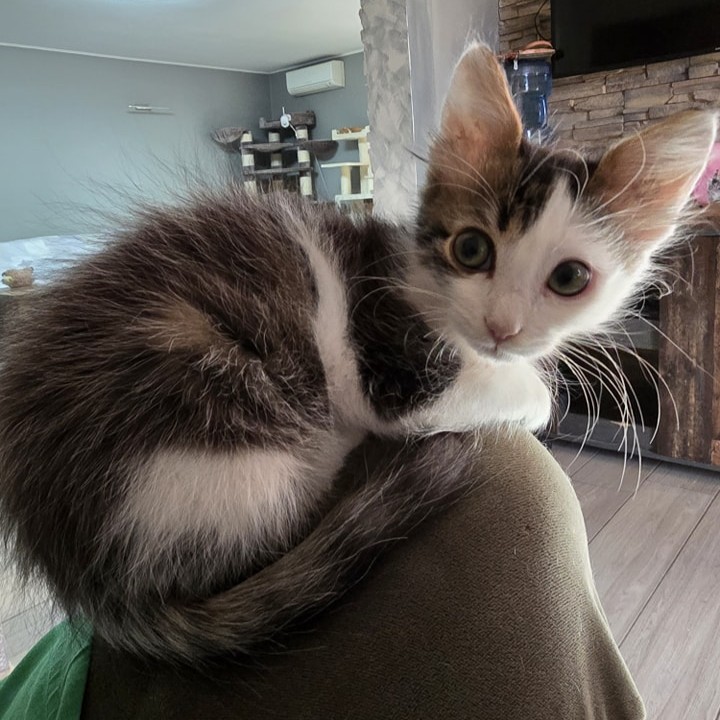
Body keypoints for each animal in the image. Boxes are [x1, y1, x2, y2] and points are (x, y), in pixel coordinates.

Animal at [0, 43, 715, 664]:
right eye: (472, 249)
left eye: (569, 279)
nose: (502, 328)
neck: (426, 287)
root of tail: (79, 570)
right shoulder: (391, 368)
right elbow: (499, 392)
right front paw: (530, 390)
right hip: (212, 444)